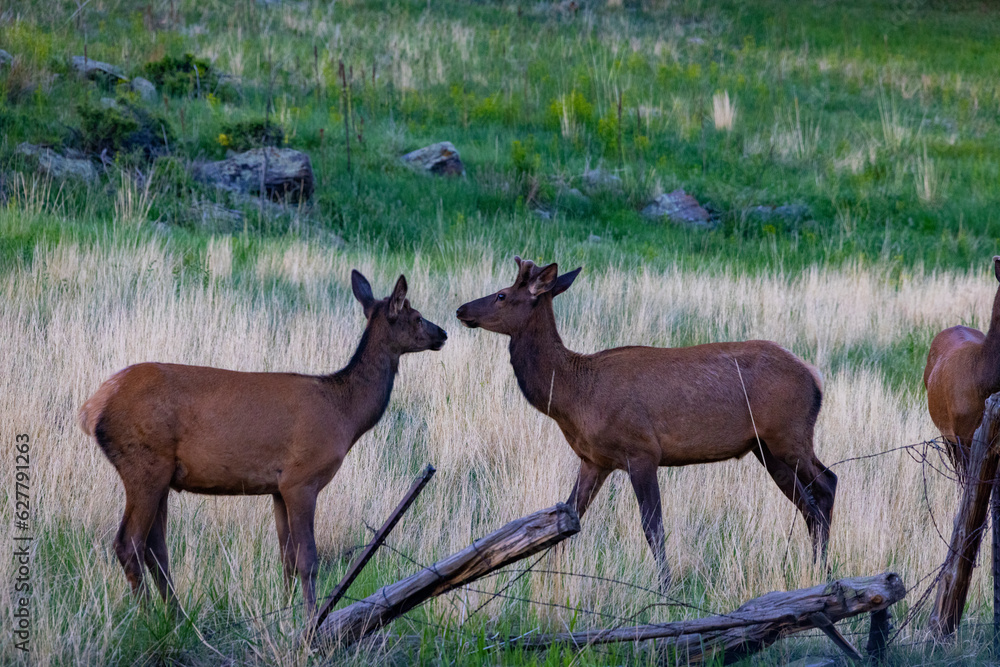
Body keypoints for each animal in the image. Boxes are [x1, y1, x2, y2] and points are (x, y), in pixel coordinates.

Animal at [78, 270, 447, 617]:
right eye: (416, 315)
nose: (443, 333)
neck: (344, 413)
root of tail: (92, 408)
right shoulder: (302, 477)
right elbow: (308, 559)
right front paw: (309, 622)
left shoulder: (278, 487)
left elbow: (286, 558)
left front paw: (283, 615)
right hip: (144, 461)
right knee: (129, 543)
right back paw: (147, 616)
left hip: (162, 474)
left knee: (156, 547)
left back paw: (177, 616)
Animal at [456, 257, 837, 590]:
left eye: (502, 294)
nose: (461, 310)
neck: (574, 396)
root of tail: (815, 376)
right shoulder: (594, 460)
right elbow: (569, 515)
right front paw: (546, 576)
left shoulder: (641, 450)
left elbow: (653, 526)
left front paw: (665, 587)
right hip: (765, 447)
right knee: (806, 503)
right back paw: (818, 569)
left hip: (790, 434)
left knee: (826, 484)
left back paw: (823, 570)